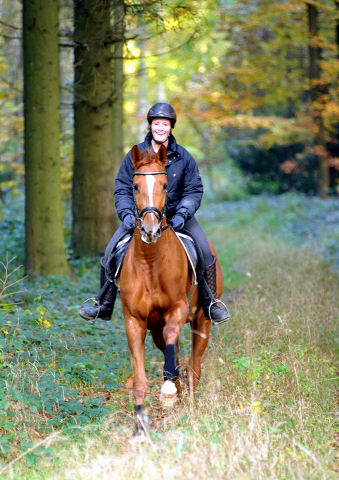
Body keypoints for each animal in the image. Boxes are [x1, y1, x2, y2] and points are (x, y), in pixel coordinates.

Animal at [119, 142, 226, 436]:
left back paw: (187, 401)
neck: (150, 262)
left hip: (202, 322)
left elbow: (174, 342)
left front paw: (167, 391)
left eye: (166, 184)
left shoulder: (178, 308)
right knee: (174, 353)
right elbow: (141, 378)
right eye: (134, 186)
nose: (150, 229)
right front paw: (140, 425)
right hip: (155, 330)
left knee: (193, 366)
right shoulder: (134, 321)